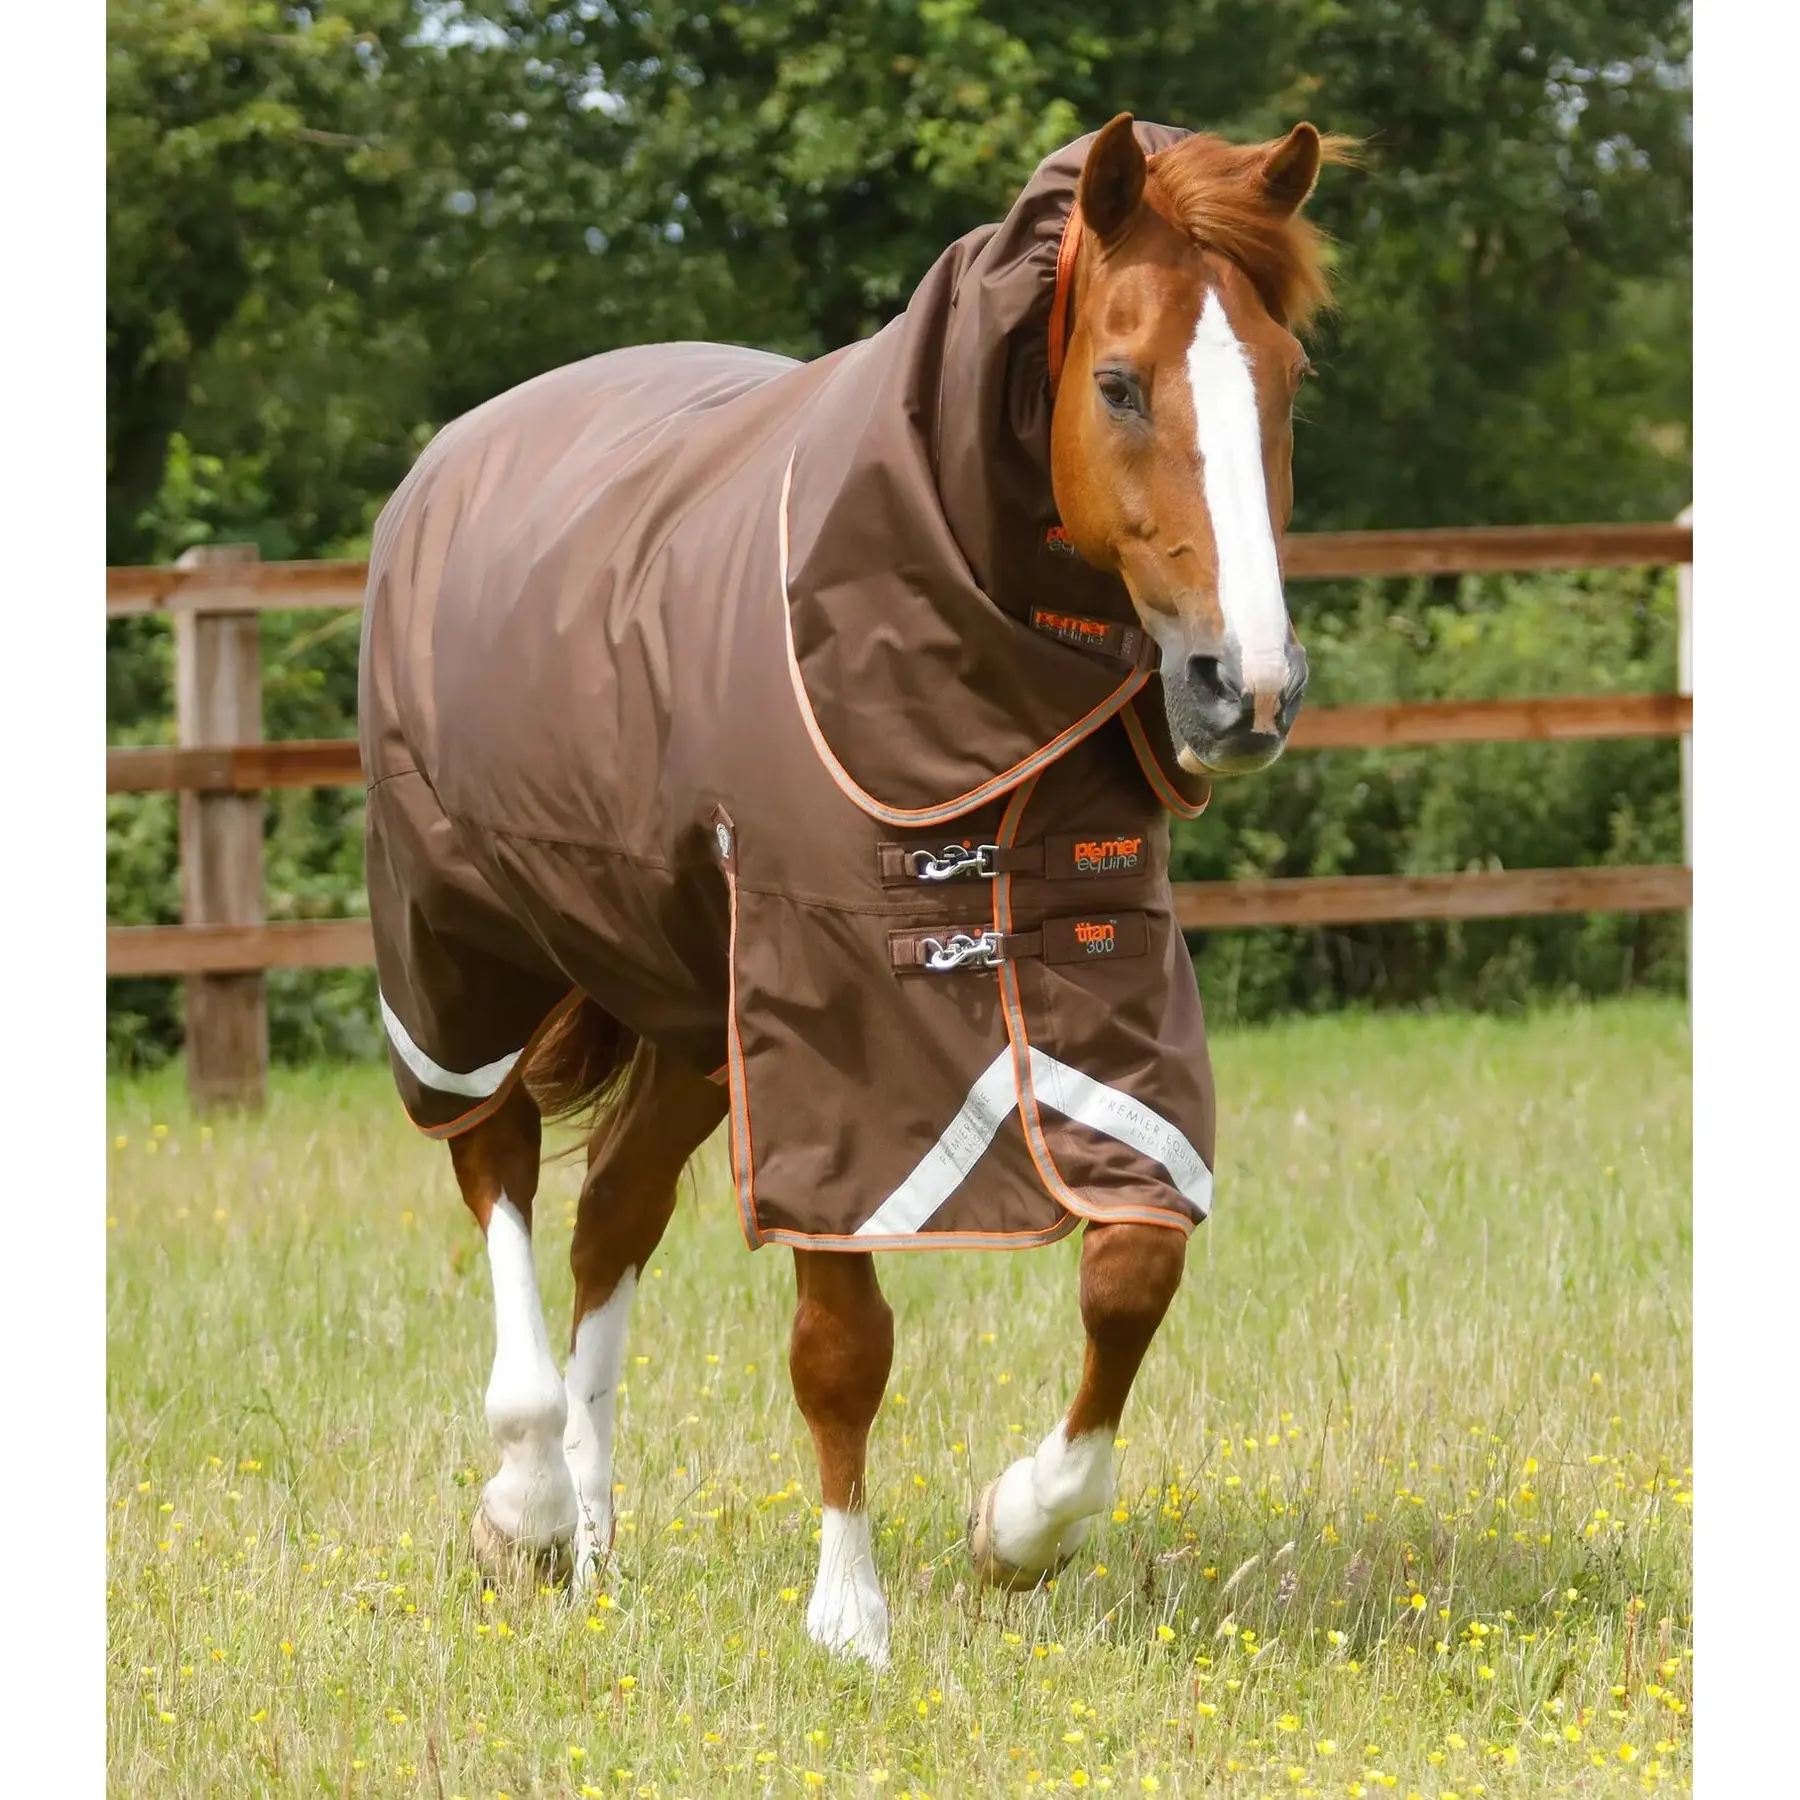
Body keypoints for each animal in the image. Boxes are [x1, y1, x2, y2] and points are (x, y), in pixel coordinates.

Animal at [358, 113, 1351, 1668]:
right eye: (1119, 383)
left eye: (1289, 382)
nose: (1242, 688)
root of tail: (456, 453)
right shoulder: (829, 1029)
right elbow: (842, 1343)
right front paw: (851, 1617)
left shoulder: (1092, 977)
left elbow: (1130, 1270)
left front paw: (1018, 1529)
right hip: (466, 954)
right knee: (497, 1163)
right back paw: (524, 1510)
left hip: (692, 1017)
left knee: (608, 1223)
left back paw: (596, 1545)